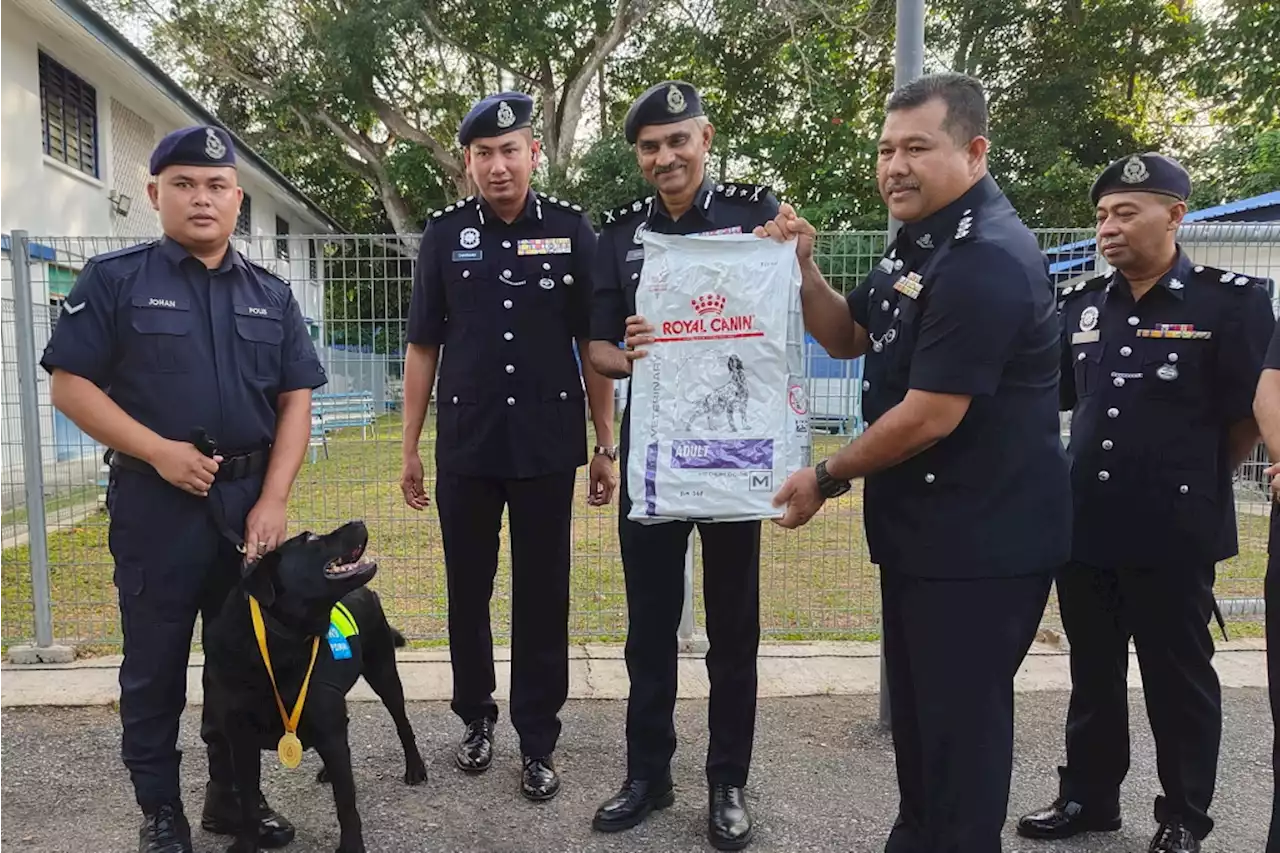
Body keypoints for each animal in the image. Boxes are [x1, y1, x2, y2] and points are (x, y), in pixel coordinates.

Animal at [202, 517, 427, 850]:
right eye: (309, 538)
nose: (359, 520)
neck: (278, 644)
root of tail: (368, 591)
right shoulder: (241, 741)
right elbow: (247, 803)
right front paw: (247, 844)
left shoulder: (329, 730)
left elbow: (346, 805)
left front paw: (351, 847)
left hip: (383, 672)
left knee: (402, 723)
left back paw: (415, 768)